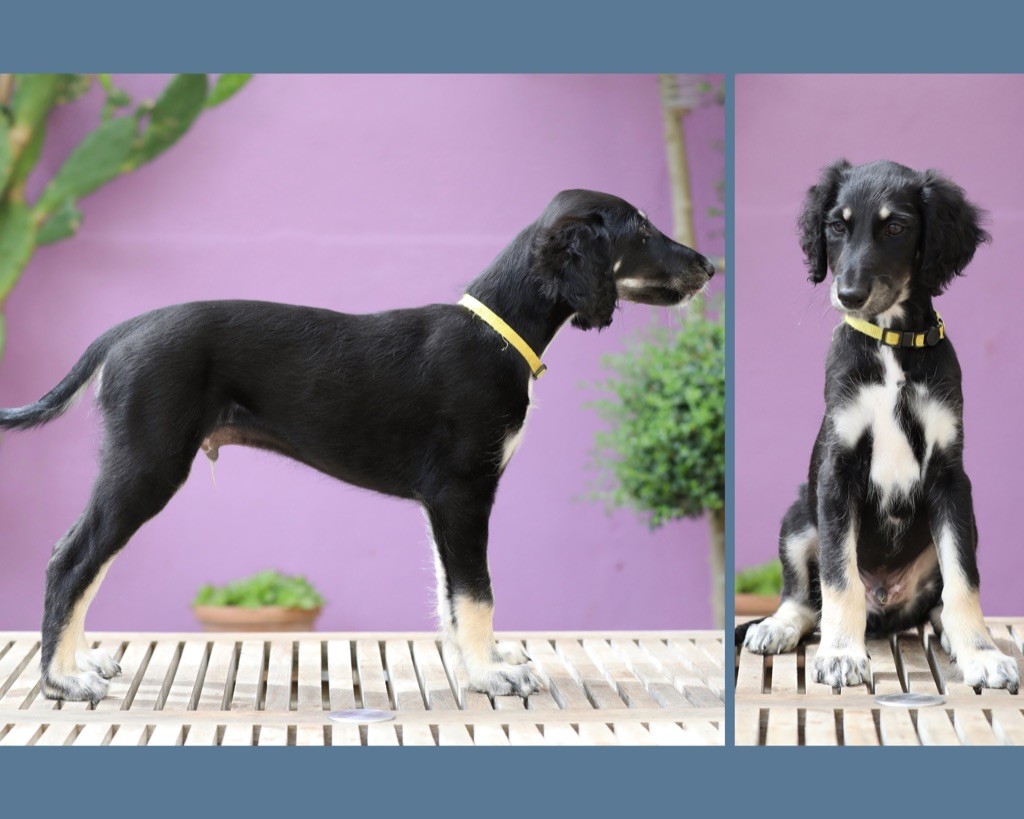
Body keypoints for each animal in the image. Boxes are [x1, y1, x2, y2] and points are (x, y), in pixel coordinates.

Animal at [0, 189, 714, 702]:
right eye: (641, 230)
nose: (711, 265)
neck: (497, 330)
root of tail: (124, 330)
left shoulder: (445, 504)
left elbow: (452, 596)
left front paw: (475, 664)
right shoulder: (464, 491)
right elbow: (477, 592)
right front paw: (488, 675)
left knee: (86, 563)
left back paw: (78, 661)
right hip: (147, 466)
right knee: (72, 561)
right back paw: (61, 680)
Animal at [737, 160, 1020, 693]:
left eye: (895, 228)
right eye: (835, 226)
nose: (848, 295)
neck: (892, 344)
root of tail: (885, 609)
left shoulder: (951, 478)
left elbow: (963, 579)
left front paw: (982, 654)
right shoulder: (836, 473)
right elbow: (838, 574)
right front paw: (841, 654)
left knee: (938, 603)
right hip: (798, 516)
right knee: (804, 597)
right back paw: (779, 627)